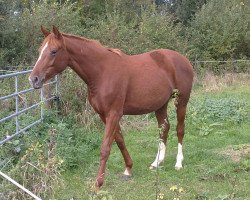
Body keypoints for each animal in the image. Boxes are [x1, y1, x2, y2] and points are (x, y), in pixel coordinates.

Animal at [29, 25, 193, 189]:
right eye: (39, 50)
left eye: (54, 51)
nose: (33, 79)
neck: (102, 72)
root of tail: (182, 59)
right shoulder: (104, 115)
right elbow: (119, 141)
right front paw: (128, 168)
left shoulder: (114, 114)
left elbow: (105, 148)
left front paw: (98, 183)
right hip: (160, 105)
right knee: (164, 129)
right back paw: (157, 162)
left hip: (181, 102)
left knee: (180, 129)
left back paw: (178, 163)